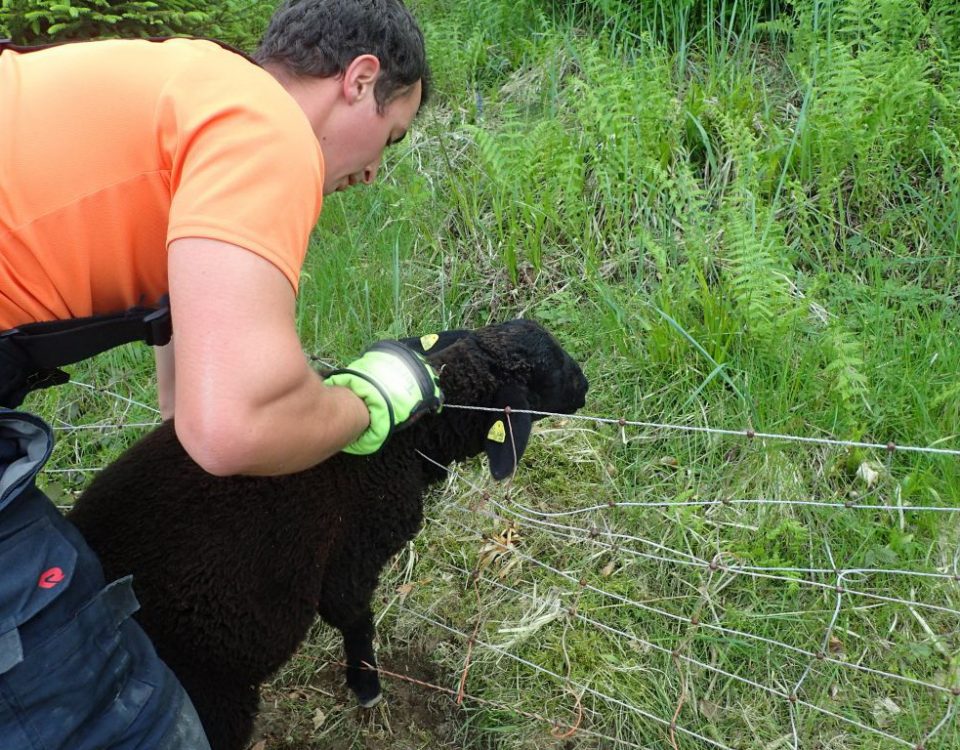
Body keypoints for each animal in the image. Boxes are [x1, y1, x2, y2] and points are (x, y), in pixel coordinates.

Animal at [67, 318, 588, 750]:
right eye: (549, 374)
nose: (586, 386)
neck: (410, 443)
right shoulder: (352, 556)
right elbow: (354, 618)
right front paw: (366, 687)